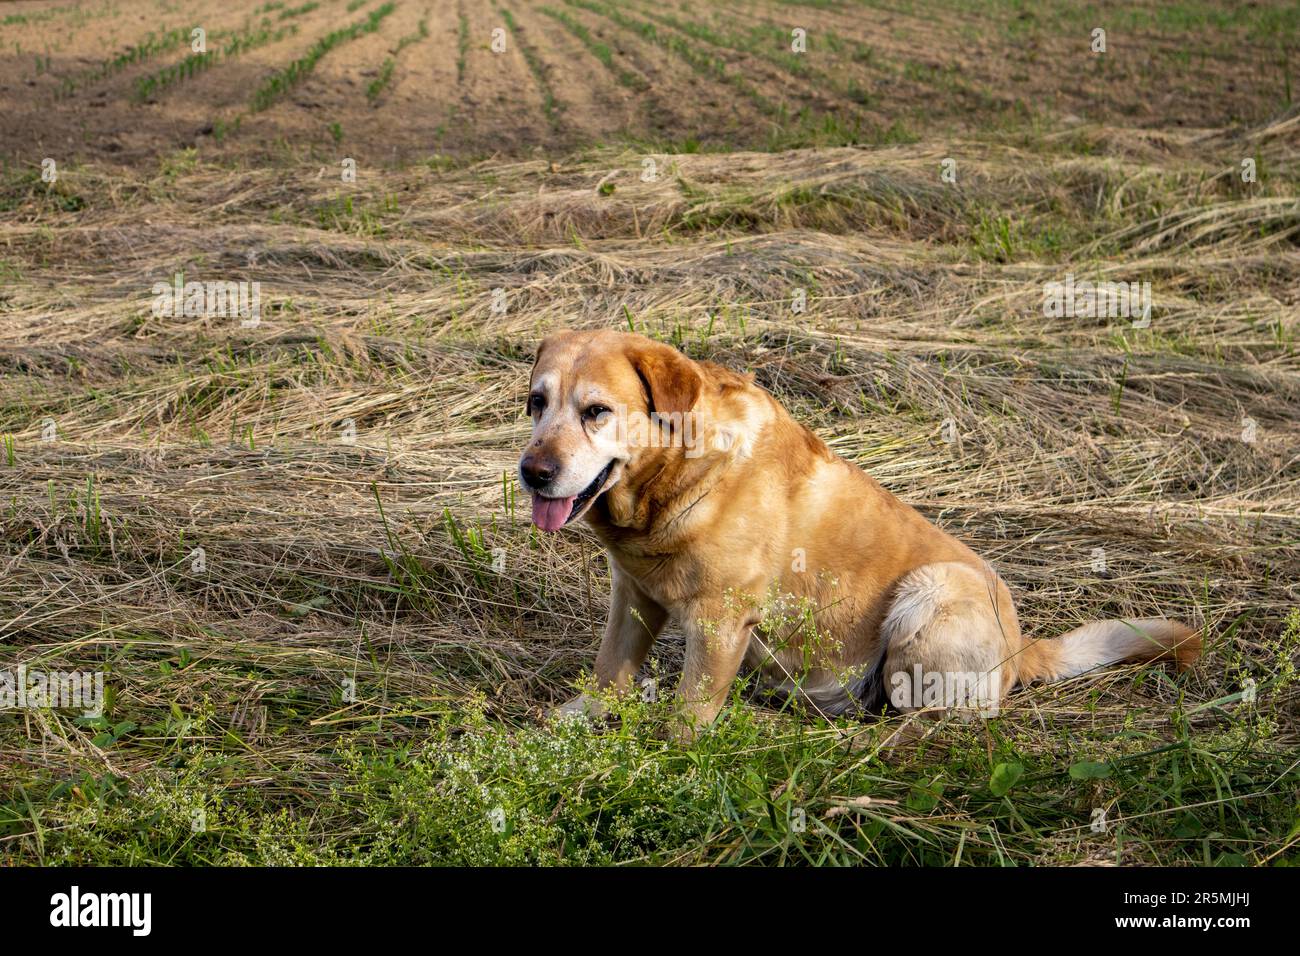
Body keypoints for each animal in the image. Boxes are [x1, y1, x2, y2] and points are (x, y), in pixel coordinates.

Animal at [517, 332, 1196, 738]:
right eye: (536, 402)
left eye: (597, 411)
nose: (531, 471)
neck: (671, 484)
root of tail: (1020, 648)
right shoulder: (632, 595)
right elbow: (609, 670)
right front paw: (573, 720)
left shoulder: (719, 620)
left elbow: (689, 713)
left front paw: (668, 756)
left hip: (934, 590)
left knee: (931, 717)